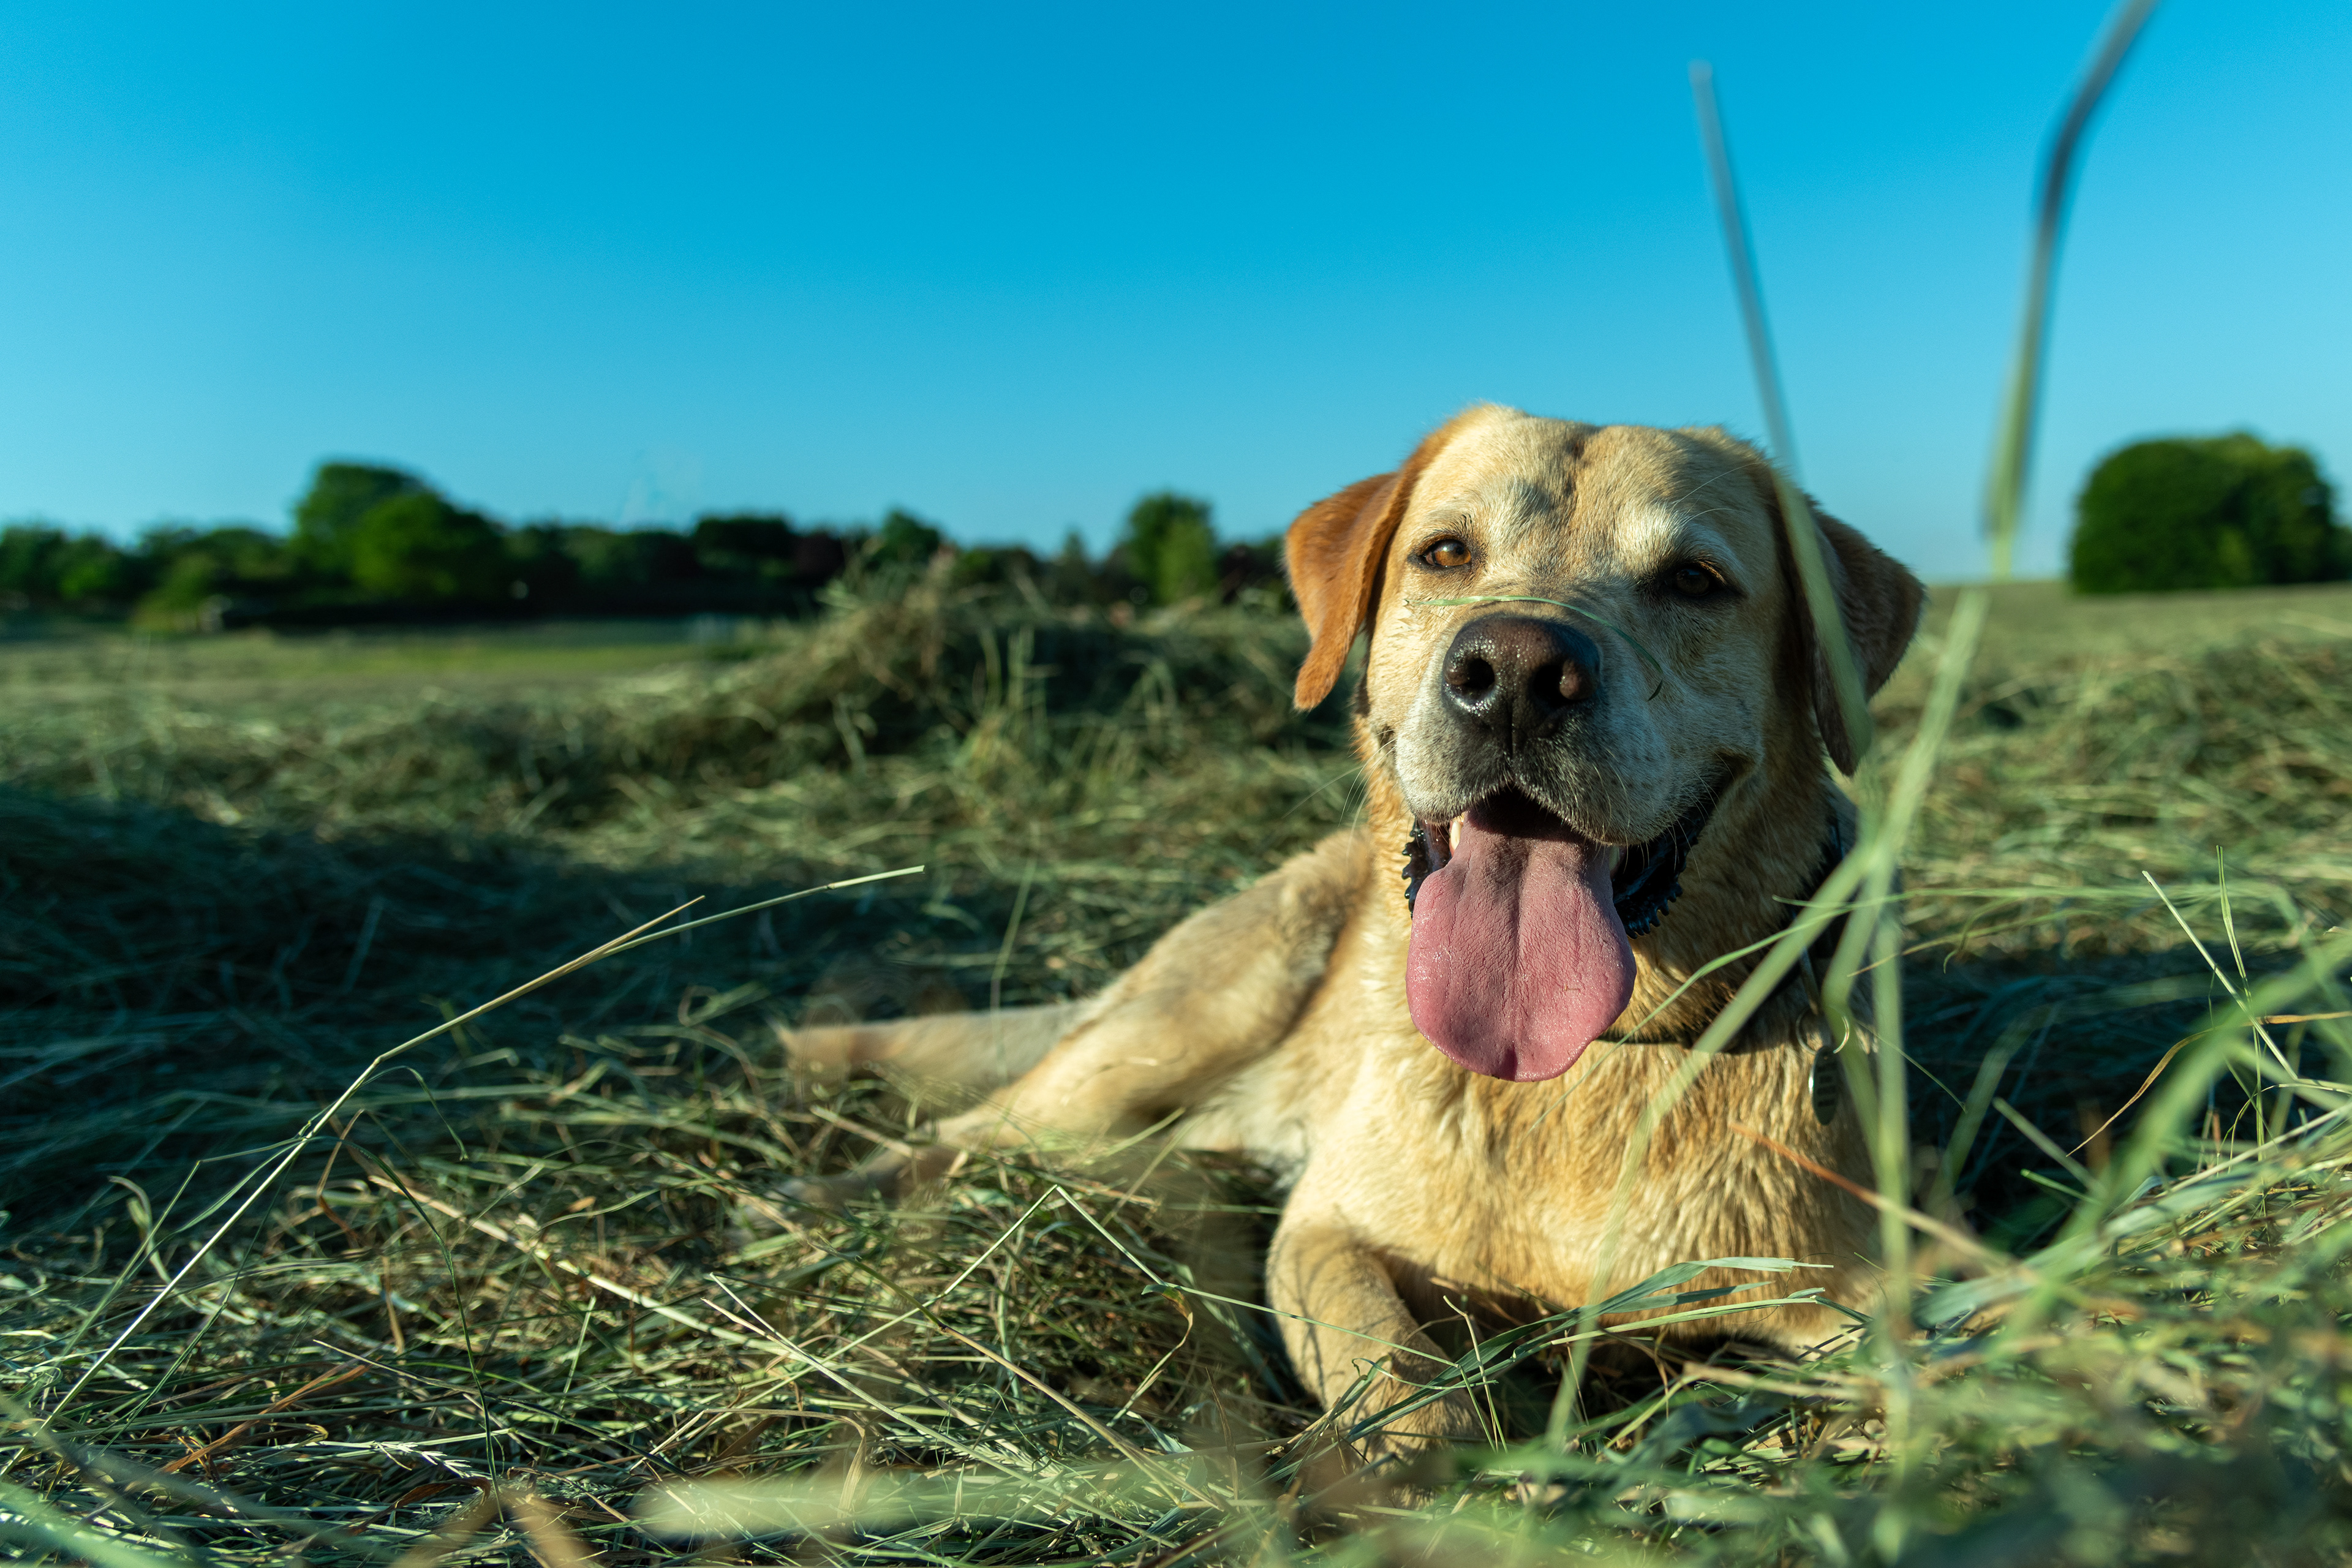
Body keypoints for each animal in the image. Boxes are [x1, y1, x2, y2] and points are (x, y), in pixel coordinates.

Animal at [787, 404, 1925, 1456]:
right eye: (1447, 552)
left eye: (1694, 580)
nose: (1516, 673)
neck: (1579, 1066)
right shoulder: (1326, 1236)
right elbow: (1405, 1385)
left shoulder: (1899, 1284)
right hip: (1178, 1027)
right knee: (972, 1133)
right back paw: (825, 1196)